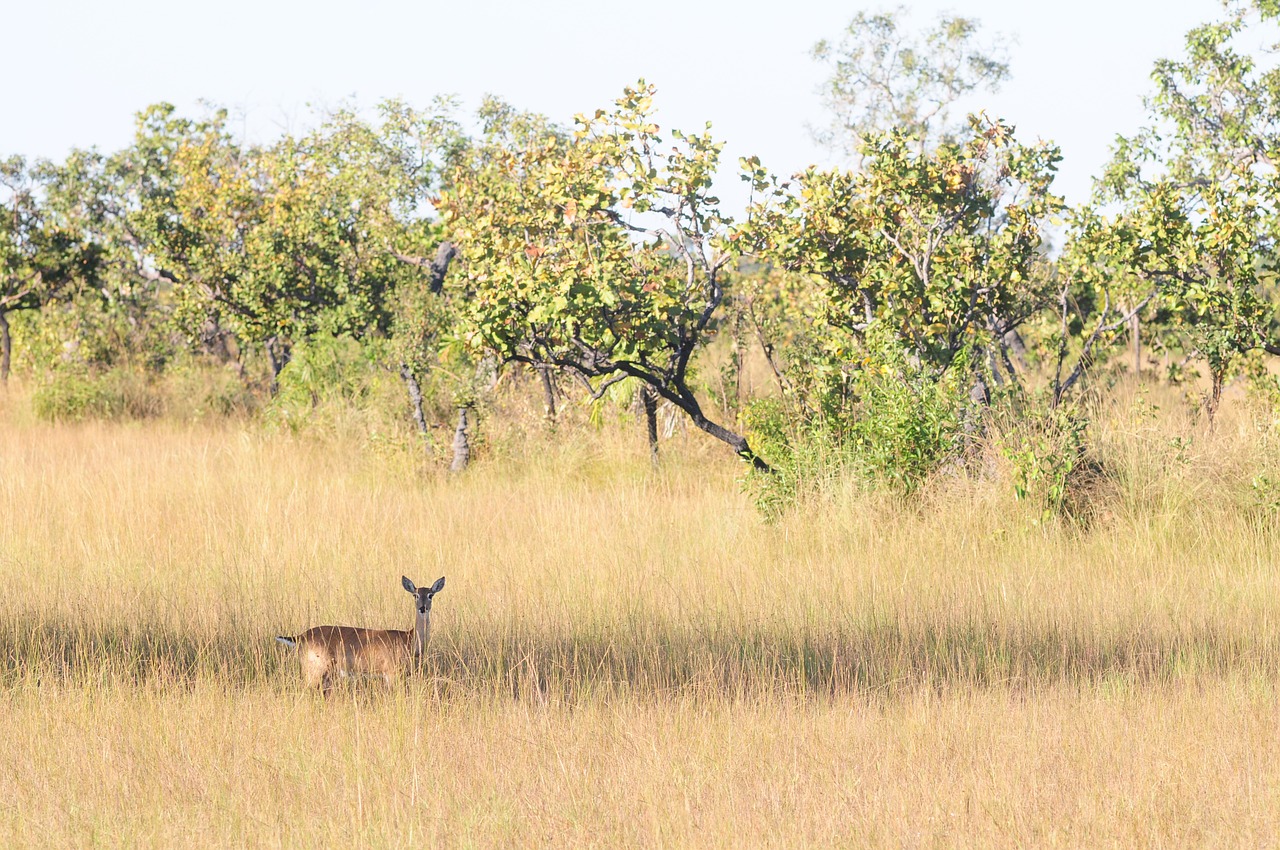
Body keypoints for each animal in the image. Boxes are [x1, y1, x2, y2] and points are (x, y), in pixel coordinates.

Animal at [275, 573, 445, 696]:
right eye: (415, 595)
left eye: (430, 595)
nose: (423, 608)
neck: (409, 640)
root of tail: (299, 637)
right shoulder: (390, 672)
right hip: (315, 669)